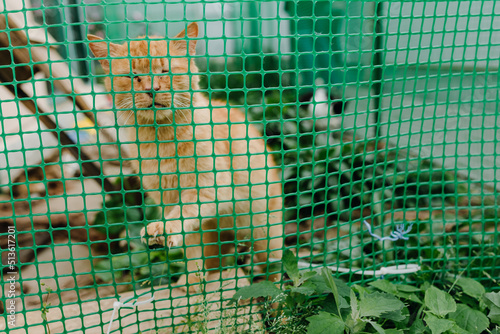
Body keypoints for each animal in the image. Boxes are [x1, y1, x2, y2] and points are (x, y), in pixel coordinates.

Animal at [88, 22, 284, 286]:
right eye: (133, 77)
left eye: (164, 71)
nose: (151, 89)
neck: (161, 141)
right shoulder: (167, 199)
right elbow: (191, 250)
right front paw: (191, 282)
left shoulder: (209, 187)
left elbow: (183, 212)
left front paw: (162, 229)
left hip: (265, 236)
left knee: (276, 271)